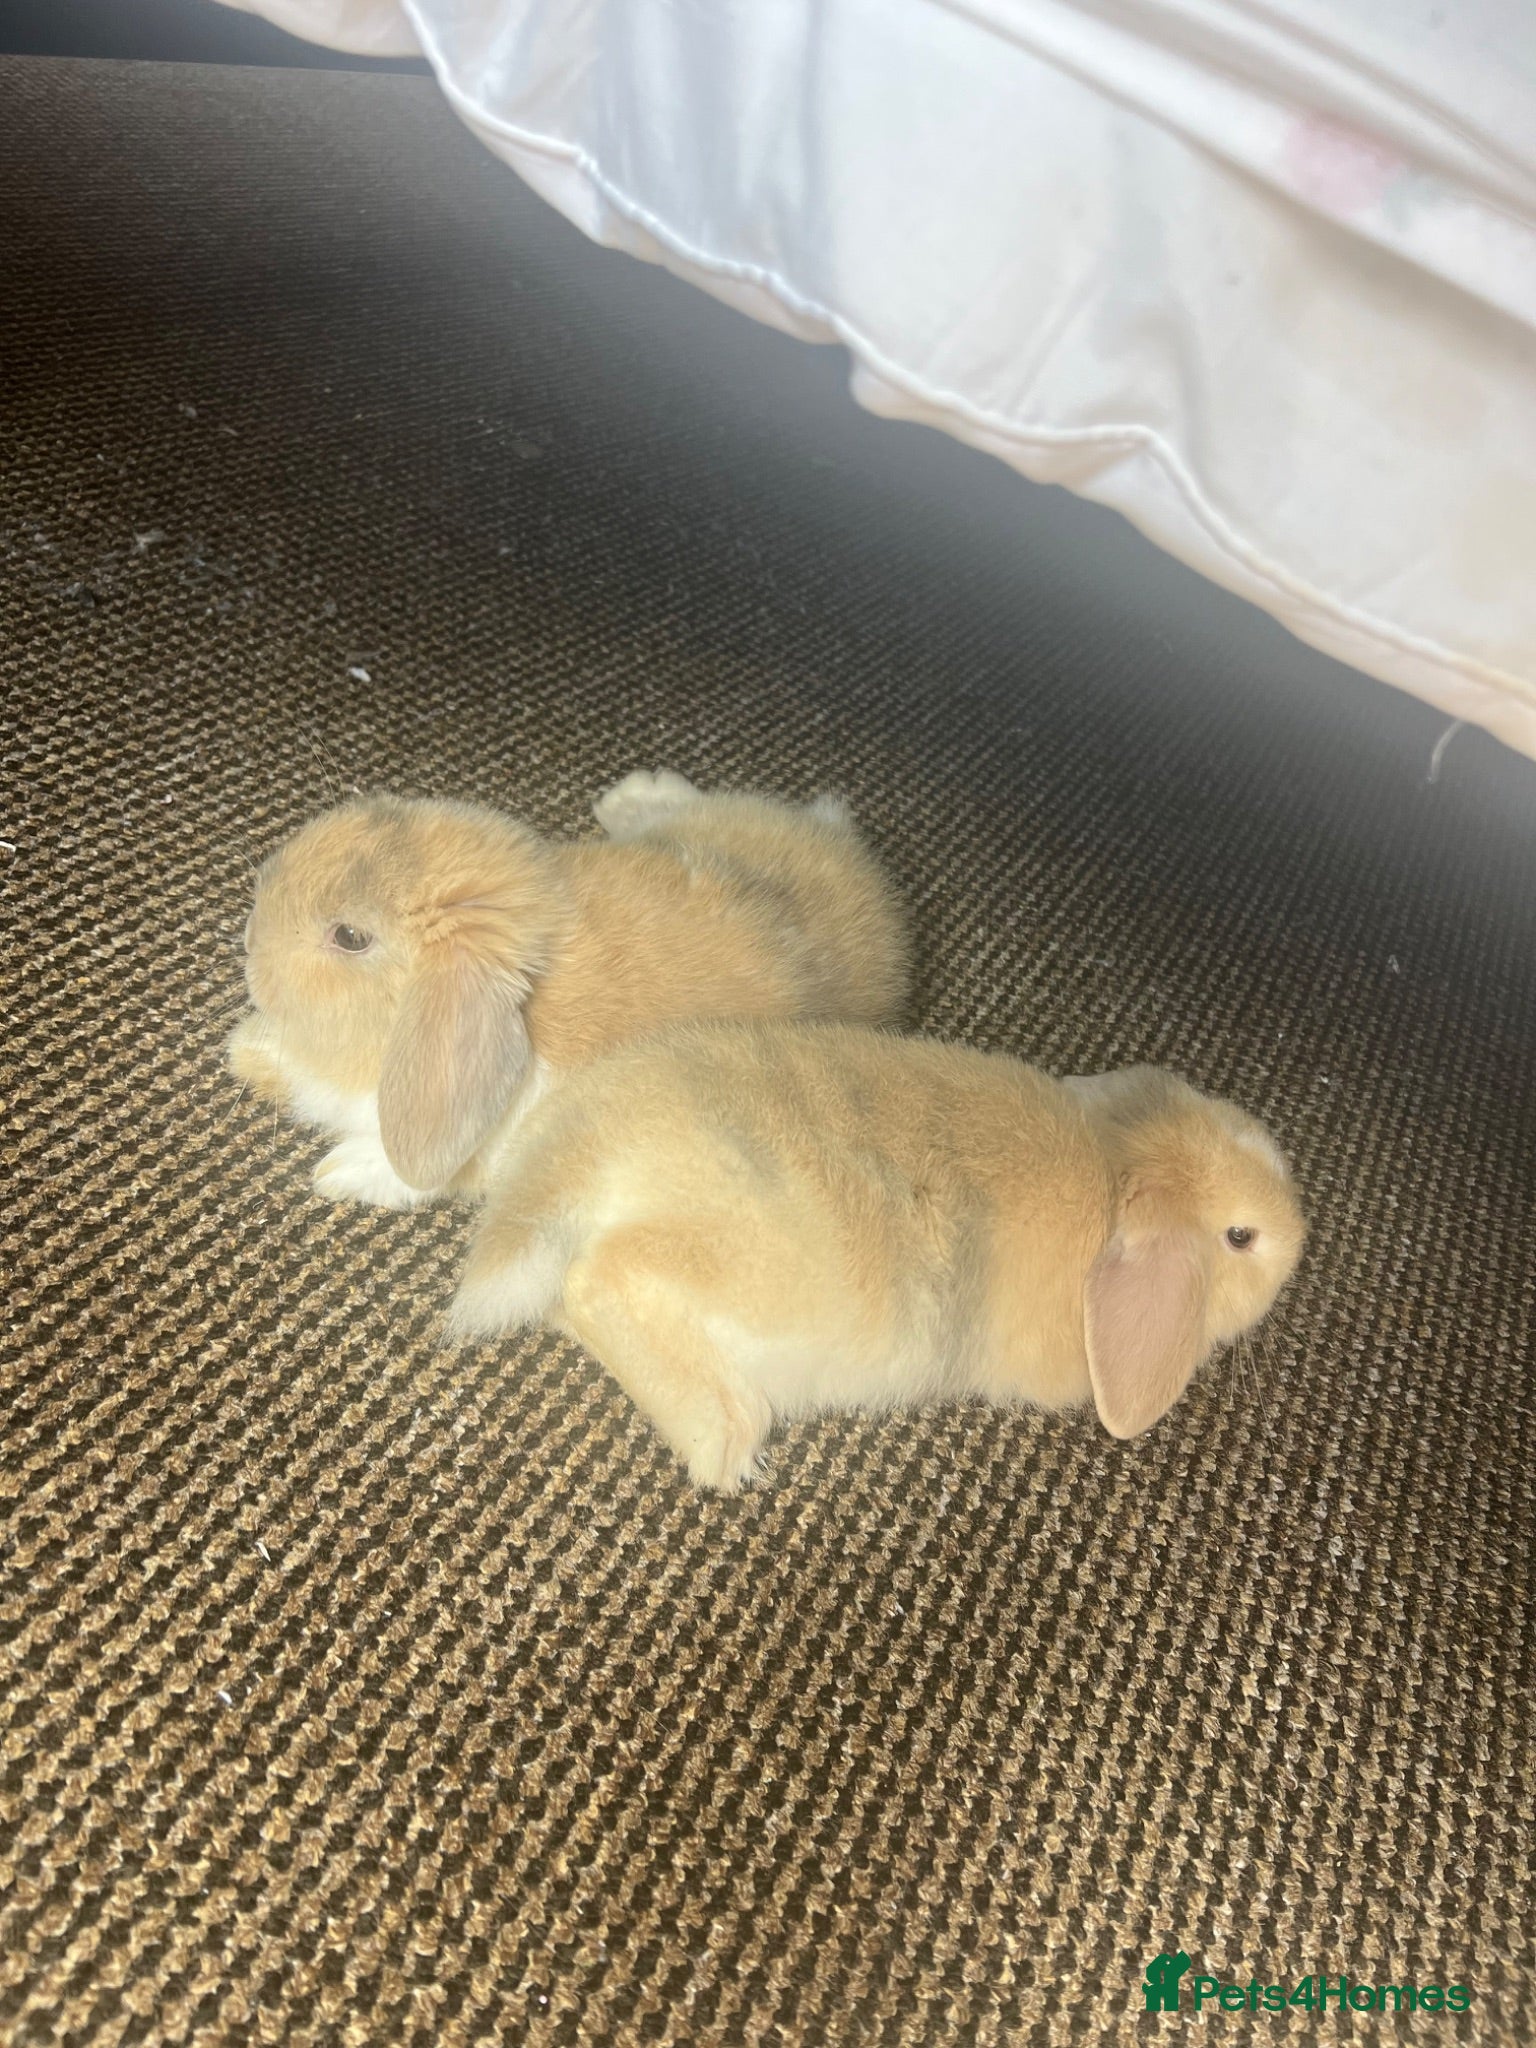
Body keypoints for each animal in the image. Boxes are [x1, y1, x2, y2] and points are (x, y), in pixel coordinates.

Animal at [226, 772, 910, 1211]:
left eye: (350, 936)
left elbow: (408, 1173)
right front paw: (245, 1049)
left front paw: (338, 1172)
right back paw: (629, 793)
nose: (250, 939)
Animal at [449, 1021, 1306, 1491]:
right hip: (743, 1273)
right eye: (1241, 1237)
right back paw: (730, 1441)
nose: (1301, 1231)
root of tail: (575, 1156)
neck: (1117, 1172)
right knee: (600, 1280)